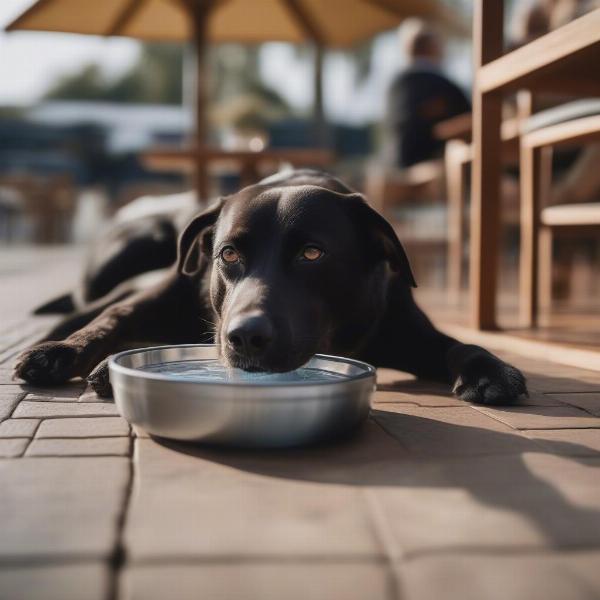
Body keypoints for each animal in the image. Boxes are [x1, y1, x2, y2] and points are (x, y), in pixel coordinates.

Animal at [15, 169, 524, 406]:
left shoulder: (401, 326)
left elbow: (460, 344)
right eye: (227, 254)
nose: (244, 337)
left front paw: (490, 371)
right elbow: (112, 319)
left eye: (312, 254)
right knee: (92, 307)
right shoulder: (166, 292)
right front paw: (61, 353)